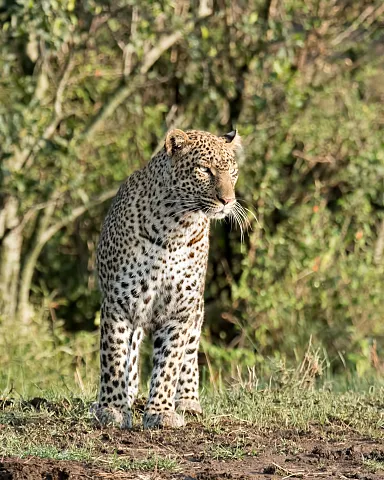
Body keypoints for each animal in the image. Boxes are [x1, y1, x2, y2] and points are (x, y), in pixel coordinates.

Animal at [92, 126, 243, 428]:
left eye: (232, 172)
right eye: (205, 170)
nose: (228, 201)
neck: (176, 227)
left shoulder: (180, 310)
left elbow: (169, 362)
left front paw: (161, 412)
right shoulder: (118, 303)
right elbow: (114, 357)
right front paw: (112, 408)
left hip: (197, 310)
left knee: (189, 354)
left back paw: (187, 401)